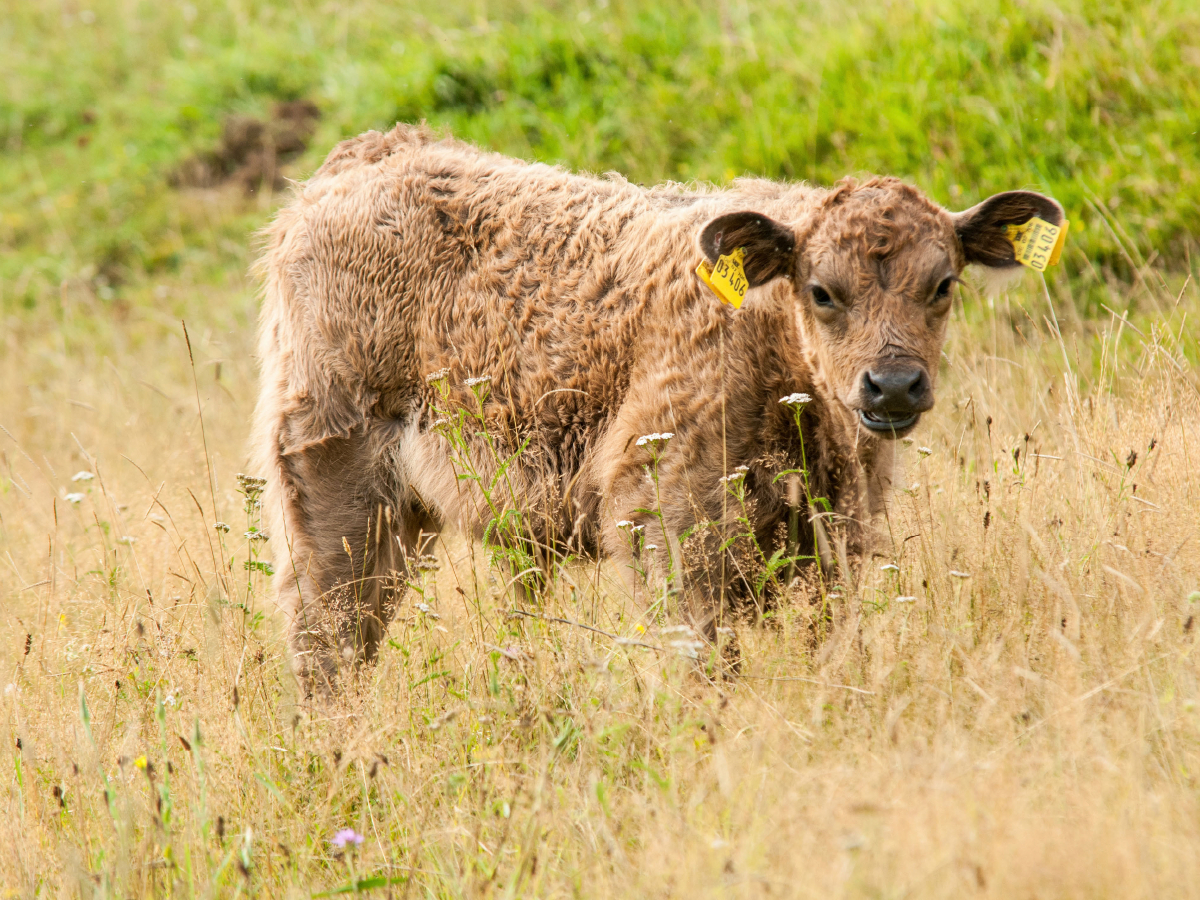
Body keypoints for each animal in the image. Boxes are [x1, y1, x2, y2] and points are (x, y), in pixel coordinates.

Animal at [250, 125, 1060, 691]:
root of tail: (374, 154)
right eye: (822, 291)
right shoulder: (664, 523)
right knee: (327, 632)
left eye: (943, 285)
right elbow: (705, 669)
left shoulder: (839, 541)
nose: (891, 385)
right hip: (333, 479)